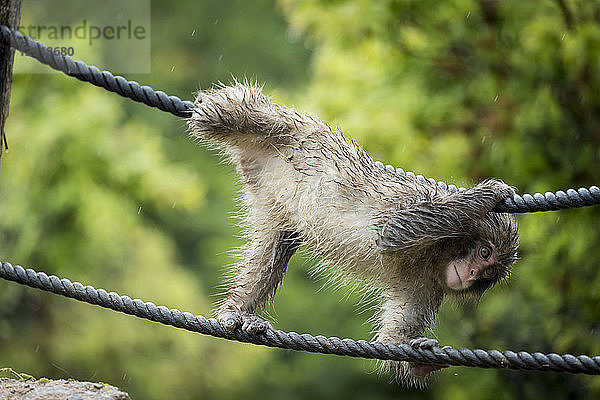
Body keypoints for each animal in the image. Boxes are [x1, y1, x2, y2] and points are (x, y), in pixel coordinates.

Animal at [188, 80, 520, 384]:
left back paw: (236, 312)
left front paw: (422, 359)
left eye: (489, 272)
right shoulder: (415, 200)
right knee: (243, 115)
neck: (436, 254)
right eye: (484, 252)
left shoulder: (426, 284)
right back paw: (216, 107)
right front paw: (487, 194)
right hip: (297, 130)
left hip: (271, 196)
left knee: (275, 245)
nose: (473, 273)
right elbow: (392, 231)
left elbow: (392, 340)